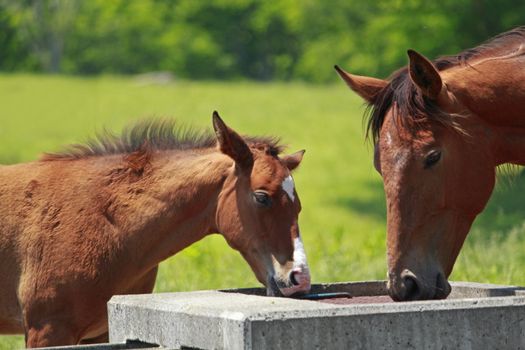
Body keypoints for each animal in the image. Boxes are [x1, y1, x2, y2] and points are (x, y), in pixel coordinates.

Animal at [0, 113, 310, 348]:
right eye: (262, 197)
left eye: (298, 205)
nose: (300, 278)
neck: (107, 224)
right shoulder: (48, 329)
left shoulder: (102, 331)